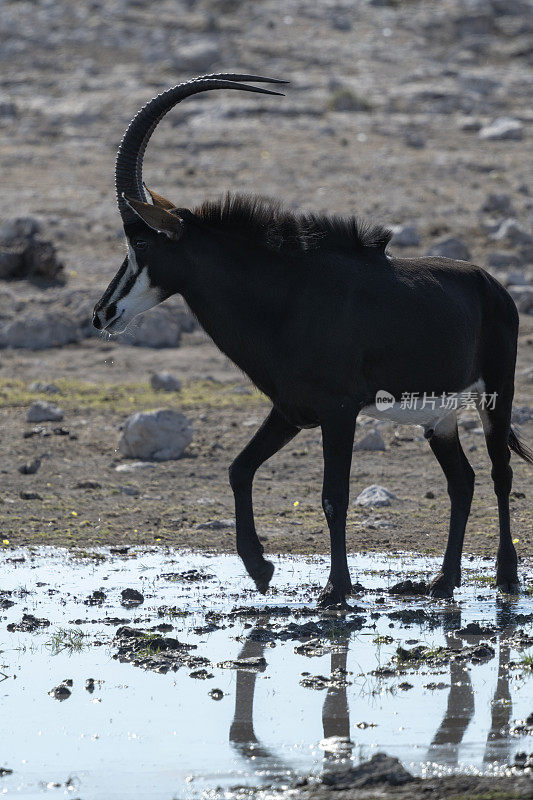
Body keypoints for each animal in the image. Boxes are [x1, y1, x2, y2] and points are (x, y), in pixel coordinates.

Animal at [93, 73, 528, 608]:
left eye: (140, 242)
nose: (101, 314)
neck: (285, 294)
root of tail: (494, 288)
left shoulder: (338, 414)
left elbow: (332, 497)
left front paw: (335, 588)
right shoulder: (292, 411)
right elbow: (239, 470)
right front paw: (261, 569)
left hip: (496, 395)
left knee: (500, 473)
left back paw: (506, 576)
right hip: (438, 418)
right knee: (462, 482)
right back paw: (443, 582)